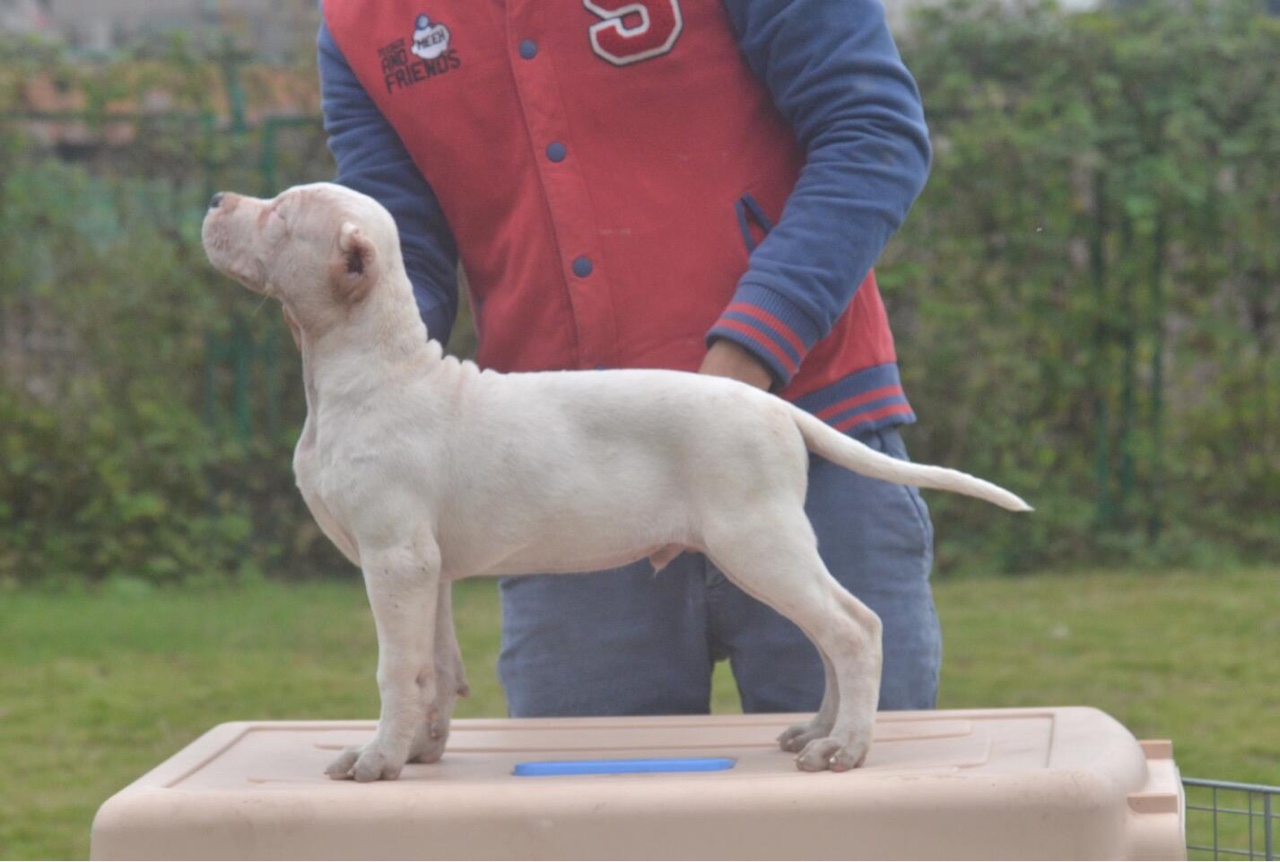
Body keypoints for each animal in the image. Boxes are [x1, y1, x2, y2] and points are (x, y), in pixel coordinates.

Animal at [204, 181, 1034, 778]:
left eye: (280, 214)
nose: (215, 202)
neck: (373, 367)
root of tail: (773, 404)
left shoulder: (393, 561)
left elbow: (393, 669)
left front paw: (377, 759)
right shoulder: (424, 570)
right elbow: (432, 669)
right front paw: (415, 751)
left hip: (757, 541)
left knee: (854, 628)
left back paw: (846, 748)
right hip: (772, 548)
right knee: (833, 631)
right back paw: (818, 729)